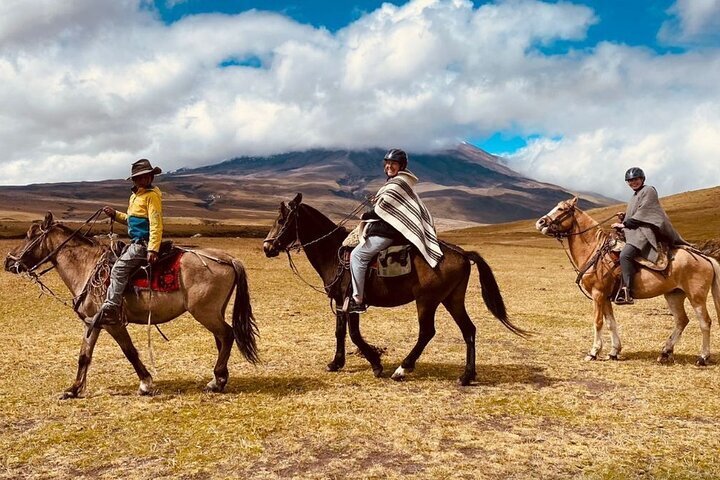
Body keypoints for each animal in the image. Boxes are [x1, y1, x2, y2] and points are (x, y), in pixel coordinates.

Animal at [4, 213, 258, 398]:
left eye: (30, 235)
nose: (8, 262)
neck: (87, 267)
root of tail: (228, 259)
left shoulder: (112, 322)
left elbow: (130, 351)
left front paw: (146, 384)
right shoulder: (93, 322)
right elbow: (84, 355)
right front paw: (73, 390)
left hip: (205, 312)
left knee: (228, 334)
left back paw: (216, 381)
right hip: (214, 312)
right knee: (222, 339)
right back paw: (219, 379)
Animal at [262, 193, 524, 384]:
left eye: (282, 220)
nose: (267, 248)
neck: (333, 252)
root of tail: (461, 252)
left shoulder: (352, 300)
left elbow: (354, 334)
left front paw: (376, 364)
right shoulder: (340, 301)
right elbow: (340, 332)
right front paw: (336, 363)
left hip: (427, 301)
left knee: (427, 332)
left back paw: (402, 369)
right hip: (452, 299)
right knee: (468, 330)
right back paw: (467, 375)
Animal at [536, 197, 720, 366]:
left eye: (561, 209)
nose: (540, 222)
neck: (594, 250)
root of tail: (705, 258)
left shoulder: (598, 294)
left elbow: (598, 322)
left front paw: (593, 352)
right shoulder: (605, 297)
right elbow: (611, 323)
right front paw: (613, 352)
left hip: (696, 297)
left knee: (705, 322)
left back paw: (702, 357)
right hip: (674, 295)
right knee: (682, 321)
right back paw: (665, 353)